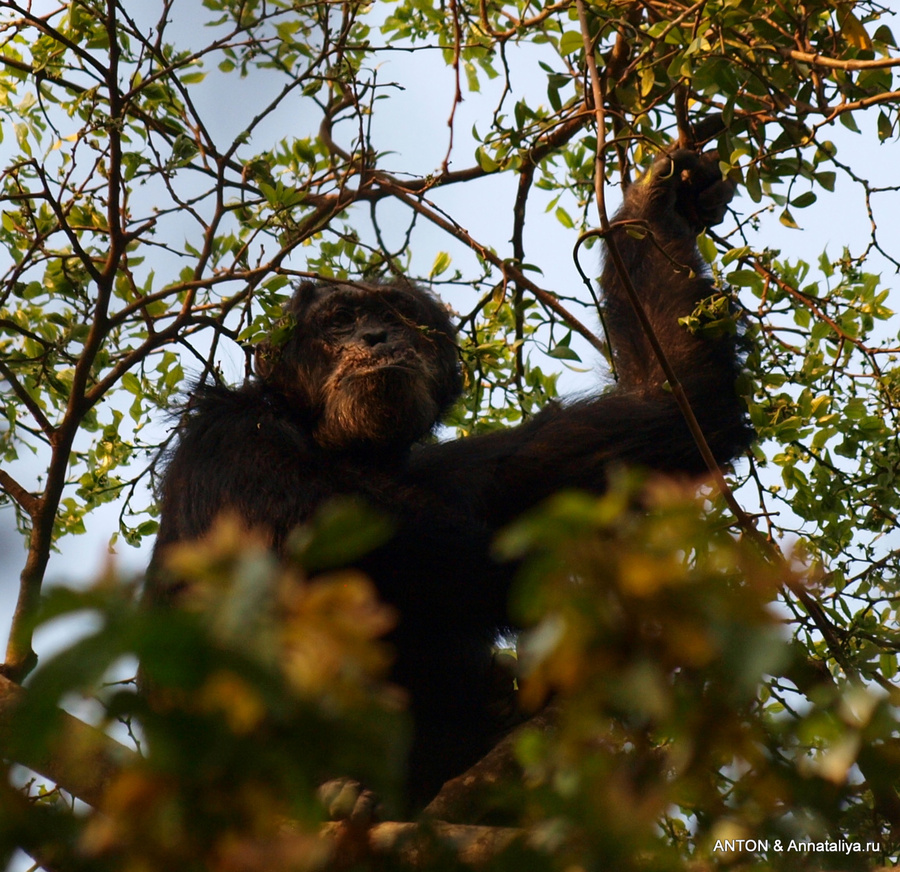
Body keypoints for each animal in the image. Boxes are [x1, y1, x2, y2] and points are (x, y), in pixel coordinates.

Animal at [146, 146, 752, 808]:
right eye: (341, 319)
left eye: (402, 314)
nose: (376, 336)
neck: (347, 446)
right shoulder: (231, 437)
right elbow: (351, 540)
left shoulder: (473, 470)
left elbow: (676, 407)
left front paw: (661, 200)